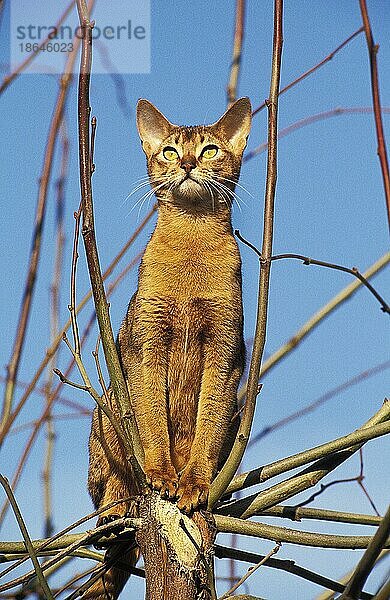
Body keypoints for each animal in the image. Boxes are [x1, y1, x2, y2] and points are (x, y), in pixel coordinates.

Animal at [84, 96, 251, 596]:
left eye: (211, 149)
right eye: (170, 151)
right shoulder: (146, 343)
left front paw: (192, 483)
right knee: (109, 486)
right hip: (106, 415)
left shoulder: (224, 351)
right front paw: (161, 474)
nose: (189, 163)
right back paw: (118, 509)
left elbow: (208, 423)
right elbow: (153, 418)